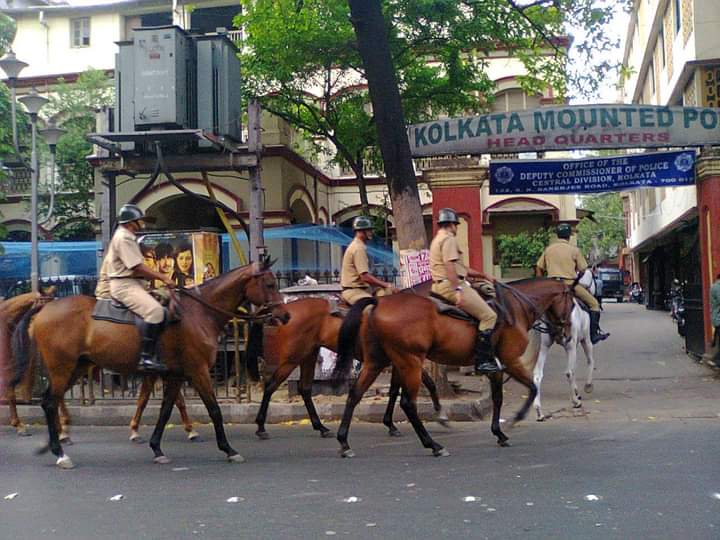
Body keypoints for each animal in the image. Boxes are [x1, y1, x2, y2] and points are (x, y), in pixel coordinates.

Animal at [11, 260, 290, 468]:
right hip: (62, 368)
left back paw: (51, 444)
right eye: (269, 284)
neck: (198, 313)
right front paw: (229, 449)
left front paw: (157, 448)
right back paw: (59, 453)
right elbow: (214, 410)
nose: (285, 315)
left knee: (51, 401)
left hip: (75, 368)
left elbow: (166, 411)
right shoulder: (198, 372)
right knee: (49, 402)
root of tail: (44, 309)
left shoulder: (176, 376)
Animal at [248, 298, 448, 440]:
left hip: (309, 354)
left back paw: (321, 427)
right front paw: (440, 414)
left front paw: (391, 424)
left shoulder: (400, 361)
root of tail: (285, 310)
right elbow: (426, 384)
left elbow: (394, 391)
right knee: (271, 385)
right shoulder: (406, 359)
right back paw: (260, 427)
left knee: (304, 388)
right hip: (293, 358)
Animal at [330, 280, 572, 458]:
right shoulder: (510, 361)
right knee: (408, 403)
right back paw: (433, 445)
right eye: (571, 302)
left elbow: (498, 398)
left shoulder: (496, 366)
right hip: (410, 361)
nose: (567, 335)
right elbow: (531, 388)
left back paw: (344, 442)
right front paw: (515, 419)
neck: (514, 308)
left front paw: (499, 433)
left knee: (355, 395)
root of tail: (379, 302)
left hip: (378, 361)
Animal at [524, 270, 600, 422]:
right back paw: (575, 402)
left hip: (544, 346)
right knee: (569, 372)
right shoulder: (585, 340)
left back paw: (539, 411)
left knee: (537, 374)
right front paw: (586, 387)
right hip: (572, 344)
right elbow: (589, 362)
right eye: (595, 278)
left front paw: (576, 392)